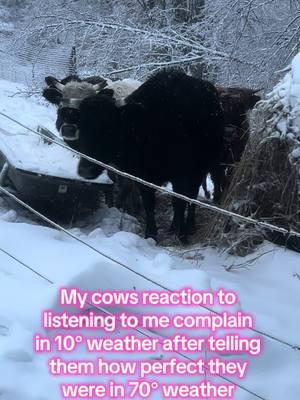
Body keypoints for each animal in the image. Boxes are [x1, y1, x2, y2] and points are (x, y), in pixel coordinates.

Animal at [43, 69, 224, 241]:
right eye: (61, 101)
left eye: (109, 130)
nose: (68, 129)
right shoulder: (140, 174)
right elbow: (148, 201)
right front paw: (150, 233)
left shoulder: (183, 174)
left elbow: (180, 201)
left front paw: (182, 234)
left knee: (190, 197)